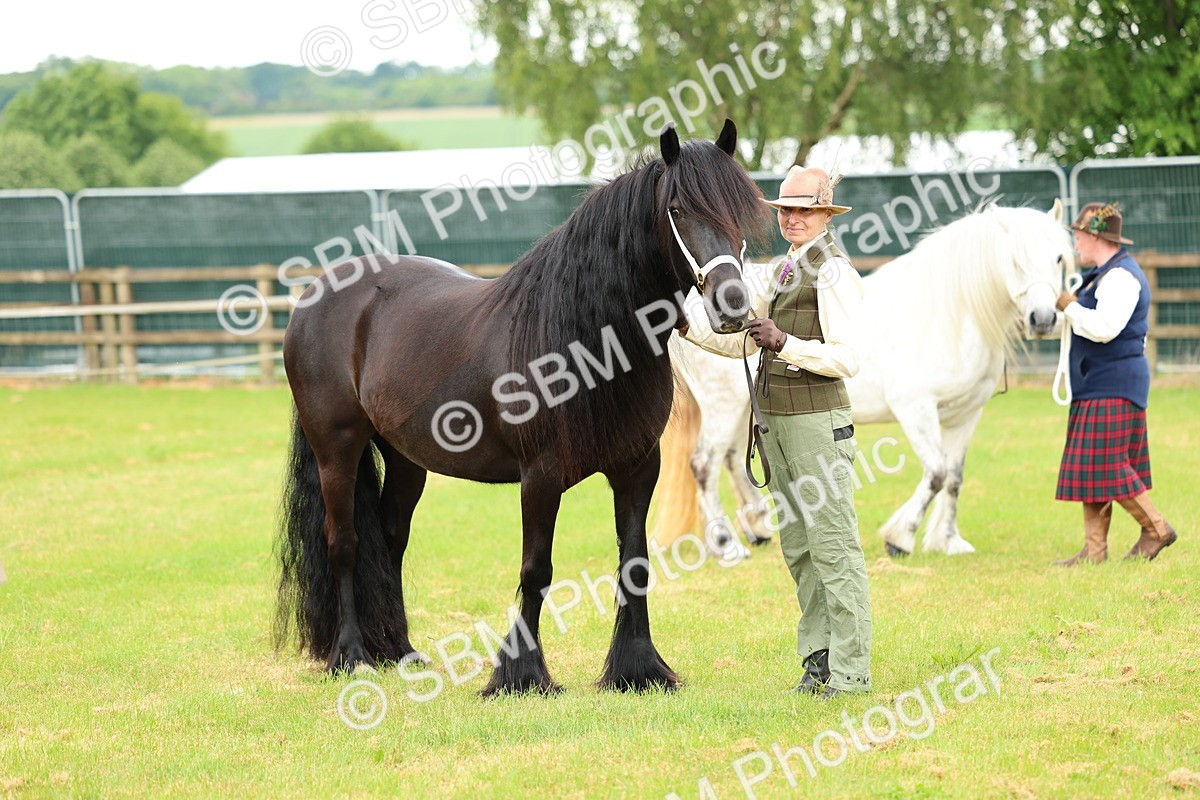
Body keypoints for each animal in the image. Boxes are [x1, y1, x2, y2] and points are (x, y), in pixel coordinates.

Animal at [274, 120, 769, 695]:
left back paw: (401, 651)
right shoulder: (541, 476)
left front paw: (638, 669)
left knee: (391, 539)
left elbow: (635, 564)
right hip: (337, 449)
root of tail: (316, 294)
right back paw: (351, 656)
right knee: (345, 542)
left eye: (740, 210)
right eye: (678, 208)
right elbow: (537, 569)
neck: (587, 338)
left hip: (405, 458)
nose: (732, 307)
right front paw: (520, 675)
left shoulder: (637, 469)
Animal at [654, 201, 1075, 557]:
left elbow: (954, 477)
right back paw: (727, 545)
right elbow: (937, 473)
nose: (1042, 319)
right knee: (703, 465)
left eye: (1058, 257)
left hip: (745, 406)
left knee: (729, 459)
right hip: (723, 405)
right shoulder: (916, 408)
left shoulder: (965, 414)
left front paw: (949, 541)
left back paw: (757, 529)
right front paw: (901, 537)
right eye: (1015, 260)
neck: (948, 314)